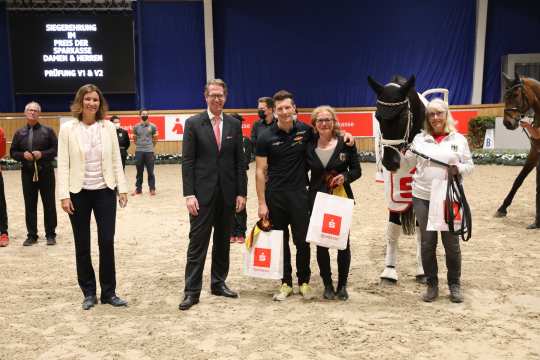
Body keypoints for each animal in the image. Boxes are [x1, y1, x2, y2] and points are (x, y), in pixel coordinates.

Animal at [368, 75, 426, 284]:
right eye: (378, 117)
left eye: (401, 117)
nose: (390, 162)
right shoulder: (392, 191)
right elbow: (393, 228)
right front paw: (389, 271)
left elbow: (422, 232)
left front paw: (422, 270)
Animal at [494, 73, 540, 229]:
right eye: (505, 96)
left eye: (515, 94)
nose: (507, 123)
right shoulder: (535, 152)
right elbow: (519, 179)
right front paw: (502, 208)